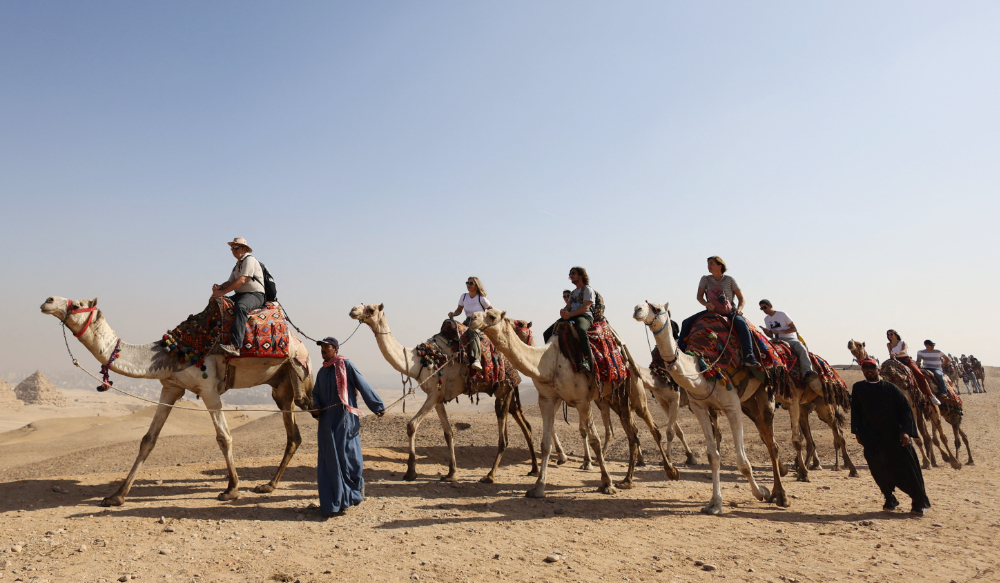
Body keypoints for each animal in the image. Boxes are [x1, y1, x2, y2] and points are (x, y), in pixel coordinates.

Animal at [40, 296, 312, 506]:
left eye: (77, 304)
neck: (171, 353)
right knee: (294, 435)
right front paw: (116, 496)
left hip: (298, 372)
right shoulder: (170, 388)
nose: (48, 301)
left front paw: (231, 489)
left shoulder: (209, 389)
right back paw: (269, 485)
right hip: (281, 385)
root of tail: (299, 342)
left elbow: (224, 437)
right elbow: (148, 440)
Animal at [632, 304, 788, 512]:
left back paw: (781, 495)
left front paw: (760, 492)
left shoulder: (730, 406)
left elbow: (743, 462)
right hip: (748, 402)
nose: (637, 309)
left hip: (764, 392)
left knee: (772, 444)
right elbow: (712, 456)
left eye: (656, 308)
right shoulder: (698, 407)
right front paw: (715, 503)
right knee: (764, 436)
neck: (703, 369)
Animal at [848, 342, 964, 470]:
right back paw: (940, 459)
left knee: (941, 433)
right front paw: (925, 462)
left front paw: (926, 461)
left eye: (859, 344)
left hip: (932, 408)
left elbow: (916, 438)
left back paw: (954, 461)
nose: (850, 343)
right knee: (929, 436)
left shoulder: (909, 410)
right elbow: (915, 438)